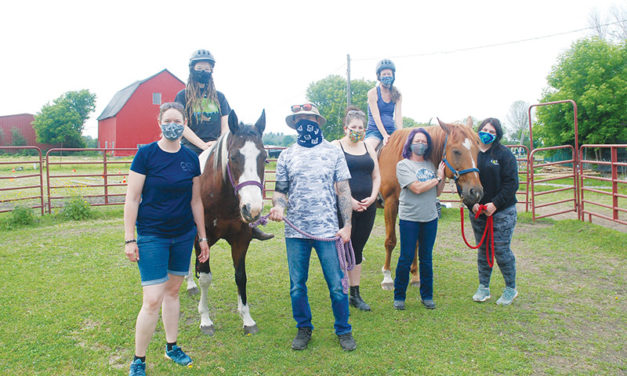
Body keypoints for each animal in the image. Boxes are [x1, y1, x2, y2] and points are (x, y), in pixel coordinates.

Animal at [188, 108, 266, 334]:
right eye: (233, 157)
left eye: (265, 158)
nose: (252, 209)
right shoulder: (201, 239)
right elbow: (206, 278)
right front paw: (205, 319)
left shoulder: (242, 239)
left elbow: (241, 276)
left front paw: (247, 318)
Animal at [378, 119, 486, 290]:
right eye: (456, 151)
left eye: (477, 151)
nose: (476, 192)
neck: (401, 158)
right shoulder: (390, 204)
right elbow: (390, 241)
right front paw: (387, 278)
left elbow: (415, 243)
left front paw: (415, 275)